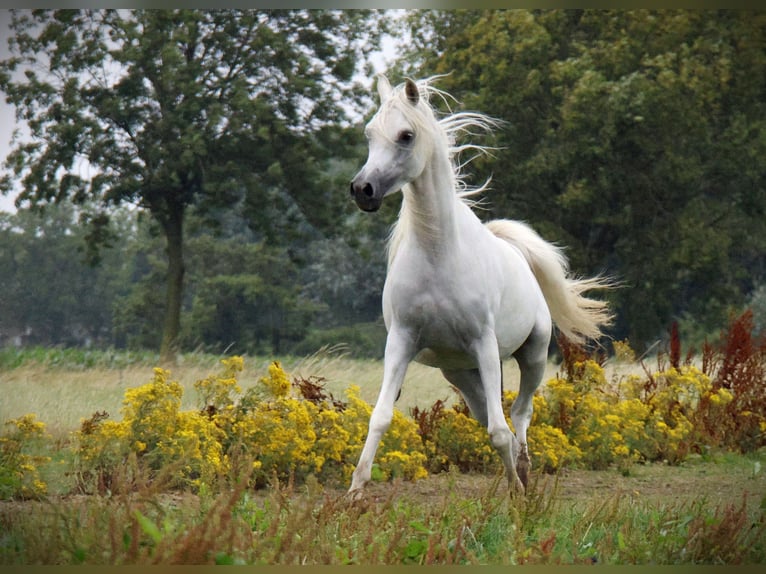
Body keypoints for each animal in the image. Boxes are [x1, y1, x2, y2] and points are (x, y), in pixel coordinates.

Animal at [350, 76, 612, 498]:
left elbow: (499, 431)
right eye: (369, 133)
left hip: (531, 355)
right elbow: (381, 417)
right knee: (491, 412)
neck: (438, 254)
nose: (363, 189)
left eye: (406, 135)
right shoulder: (401, 342)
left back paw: (523, 472)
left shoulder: (485, 344)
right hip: (459, 371)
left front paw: (517, 493)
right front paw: (355, 492)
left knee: (520, 413)